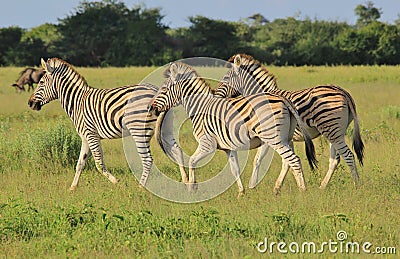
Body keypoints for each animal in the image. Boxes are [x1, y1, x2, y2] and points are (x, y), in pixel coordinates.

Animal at [28, 59, 188, 191]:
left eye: (41, 82)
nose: (30, 103)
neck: (77, 102)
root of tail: (156, 91)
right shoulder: (85, 137)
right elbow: (80, 163)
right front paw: (72, 188)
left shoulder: (91, 134)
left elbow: (98, 164)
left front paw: (117, 181)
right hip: (165, 129)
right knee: (177, 151)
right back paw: (187, 181)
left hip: (138, 130)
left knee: (147, 160)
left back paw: (141, 187)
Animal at [148, 62, 318, 197]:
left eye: (164, 89)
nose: (151, 108)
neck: (201, 107)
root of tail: (283, 99)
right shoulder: (228, 148)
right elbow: (235, 169)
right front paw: (241, 193)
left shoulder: (207, 145)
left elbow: (191, 161)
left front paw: (192, 188)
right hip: (285, 138)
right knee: (288, 161)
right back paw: (281, 189)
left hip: (274, 138)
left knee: (294, 160)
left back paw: (303, 191)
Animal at [216, 53, 366, 190]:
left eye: (225, 78)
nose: (216, 95)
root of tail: (343, 91)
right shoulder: (286, 138)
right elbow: (286, 162)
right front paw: (279, 187)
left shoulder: (269, 136)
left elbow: (258, 160)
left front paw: (253, 186)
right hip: (335, 132)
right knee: (335, 159)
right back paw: (322, 187)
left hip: (332, 129)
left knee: (348, 156)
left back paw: (357, 187)